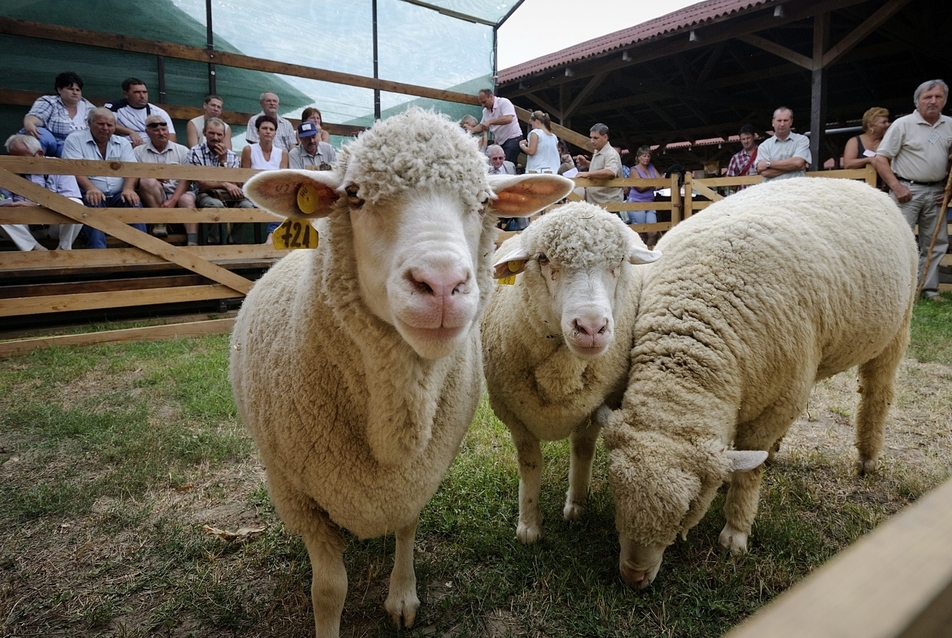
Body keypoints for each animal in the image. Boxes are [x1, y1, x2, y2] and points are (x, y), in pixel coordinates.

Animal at [229, 107, 572, 636]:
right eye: (353, 195)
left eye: (484, 201)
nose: (442, 285)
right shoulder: (298, 497)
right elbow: (329, 590)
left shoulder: (418, 477)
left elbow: (406, 530)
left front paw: (402, 596)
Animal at [600, 178, 920, 592]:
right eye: (615, 490)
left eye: (690, 508)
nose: (633, 578)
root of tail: (861, 184)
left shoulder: (777, 401)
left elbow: (749, 472)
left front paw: (735, 533)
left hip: (897, 327)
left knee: (877, 392)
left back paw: (866, 458)